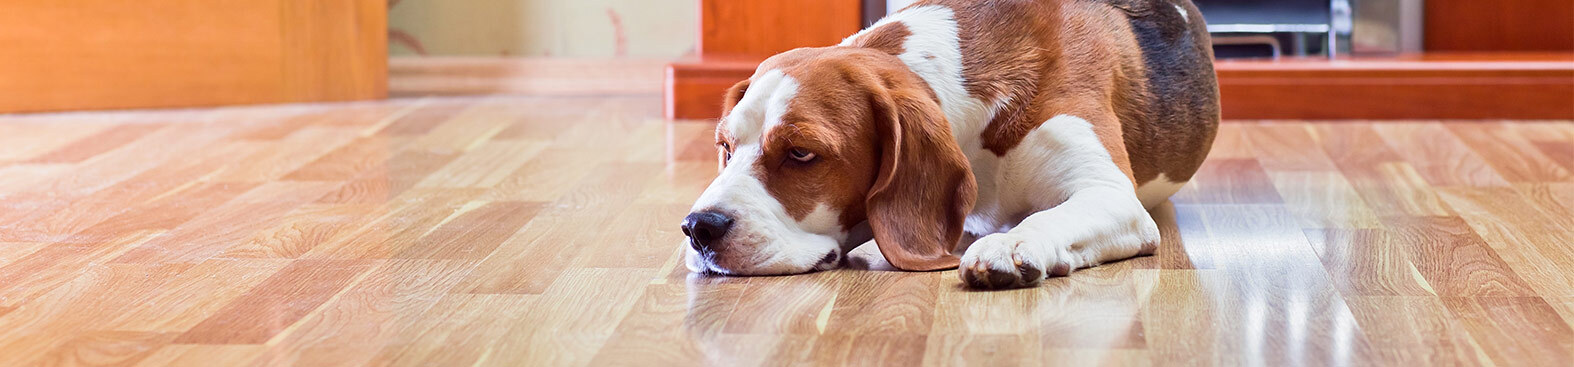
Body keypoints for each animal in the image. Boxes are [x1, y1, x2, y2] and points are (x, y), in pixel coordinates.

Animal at [676, 0, 1215, 289]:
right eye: (726, 148)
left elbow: (1051, 216)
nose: (698, 228)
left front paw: (1012, 244)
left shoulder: (1111, 195)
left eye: (801, 153)